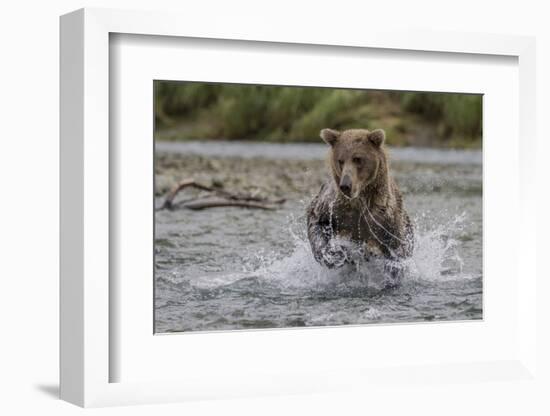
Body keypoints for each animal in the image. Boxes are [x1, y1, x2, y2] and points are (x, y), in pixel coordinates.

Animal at [306, 127, 414, 272]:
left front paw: (393, 266)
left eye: (357, 159)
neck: (359, 200)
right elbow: (316, 220)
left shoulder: (385, 218)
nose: (345, 185)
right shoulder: (334, 207)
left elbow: (398, 247)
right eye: (340, 160)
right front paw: (334, 255)